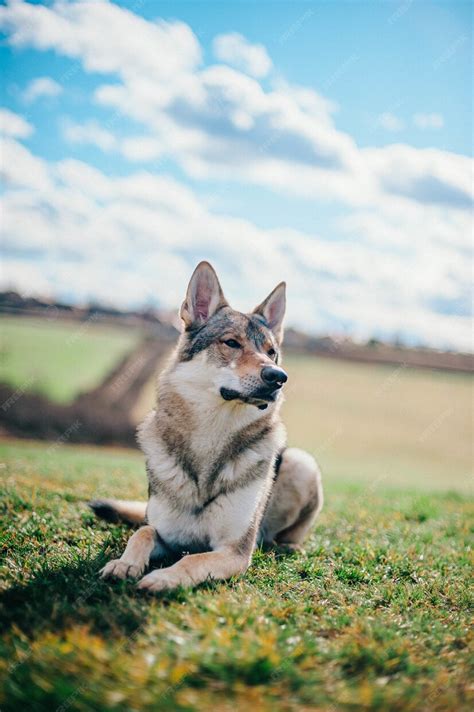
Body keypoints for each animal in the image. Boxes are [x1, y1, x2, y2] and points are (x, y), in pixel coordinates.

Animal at [90, 258, 322, 592]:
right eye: (231, 343)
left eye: (271, 352)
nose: (278, 377)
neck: (210, 438)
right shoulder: (166, 534)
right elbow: (142, 532)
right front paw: (123, 564)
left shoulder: (235, 550)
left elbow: (192, 560)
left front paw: (162, 577)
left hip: (303, 463)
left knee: (288, 536)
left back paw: (286, 546)